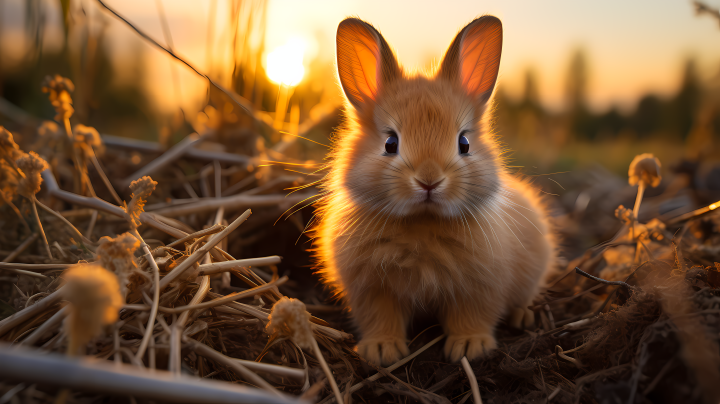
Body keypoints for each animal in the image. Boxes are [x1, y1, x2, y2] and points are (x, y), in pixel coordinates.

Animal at [310, 15, 556, 366]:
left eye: (464, 143)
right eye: (391, 143)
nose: (429, 181)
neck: (421, 223)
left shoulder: (479, 288)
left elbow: (472, 316)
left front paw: (469, 346)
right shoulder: (373, 291)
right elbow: (381, 319)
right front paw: (382, 350)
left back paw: (523, 317)